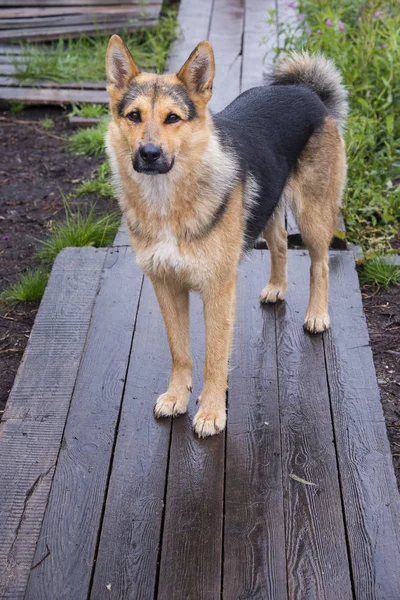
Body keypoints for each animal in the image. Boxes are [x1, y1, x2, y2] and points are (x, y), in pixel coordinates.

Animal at [105, 38, 346, 440]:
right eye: (134, 116)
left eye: (173, 118)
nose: (149, 154)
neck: (167, 200)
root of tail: (306, 91)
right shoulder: (166, 285)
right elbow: (180, 350)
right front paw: (178, 396)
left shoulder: (217, 291)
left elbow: (215, 357)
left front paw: (211, 412)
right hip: (265, 204)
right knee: (280, 241)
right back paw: (277, 287)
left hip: (312, 214)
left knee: (319, 264)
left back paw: (317, 314)